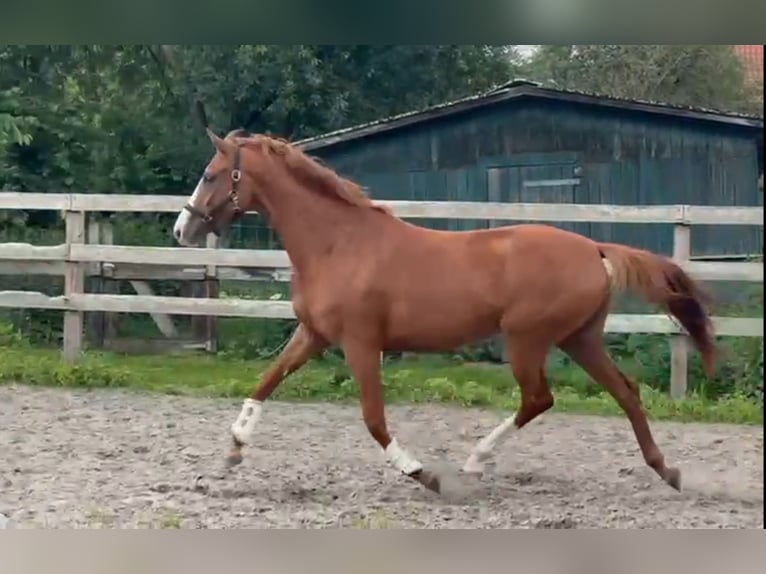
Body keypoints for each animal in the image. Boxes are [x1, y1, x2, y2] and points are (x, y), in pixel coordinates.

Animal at [171, 128, 716, 498]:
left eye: (210, 174)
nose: (181, 230)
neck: (337, 244)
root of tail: (594, 249)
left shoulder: (361, 344)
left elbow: (373, 418)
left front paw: (423, 474)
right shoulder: (314, 334)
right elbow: (267, 380)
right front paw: (233, 450)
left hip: (527, 339)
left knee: (539, 398)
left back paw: (474, 462)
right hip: (579, 338)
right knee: (625, 391)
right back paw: (667, 471)